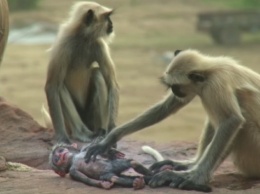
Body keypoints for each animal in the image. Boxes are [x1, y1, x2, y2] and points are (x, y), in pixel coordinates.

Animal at [44, 1, 119, 142]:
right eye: (107, 17)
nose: (112, 24)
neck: (83, 38)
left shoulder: (99, 45)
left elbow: (112, 84)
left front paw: (112, 128)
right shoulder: (63, 44)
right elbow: (52, 86)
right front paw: (61, 137)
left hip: (91, 119)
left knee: (97, 74)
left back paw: (101, 131)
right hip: (71, 122)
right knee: (60, 87)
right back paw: (81, 132)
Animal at [85, 49, 260, 192]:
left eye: (176, 87)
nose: (174, 91)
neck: (210, 70)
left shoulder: (215, 85)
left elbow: (232, 120)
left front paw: (196, 177)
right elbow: (168, 106)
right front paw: (109, 139)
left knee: (237, 119)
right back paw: (189, 164)